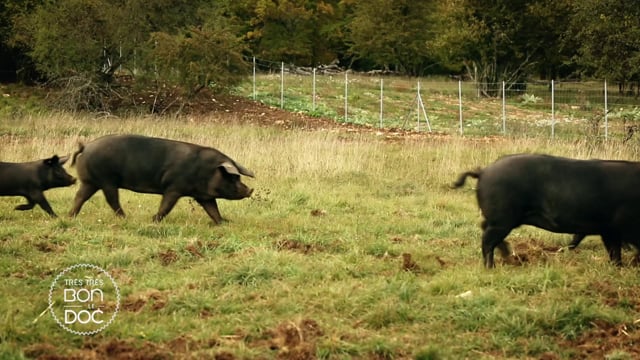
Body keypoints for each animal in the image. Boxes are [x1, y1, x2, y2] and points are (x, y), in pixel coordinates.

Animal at [452, 153, 640, 268]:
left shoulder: (608, 229)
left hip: (499, 219)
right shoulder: (617, 227)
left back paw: (508, 256)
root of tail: (483, 172)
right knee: (487, 240)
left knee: (486, 230)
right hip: (502, 218)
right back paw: (491, 267)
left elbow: (611, 249)